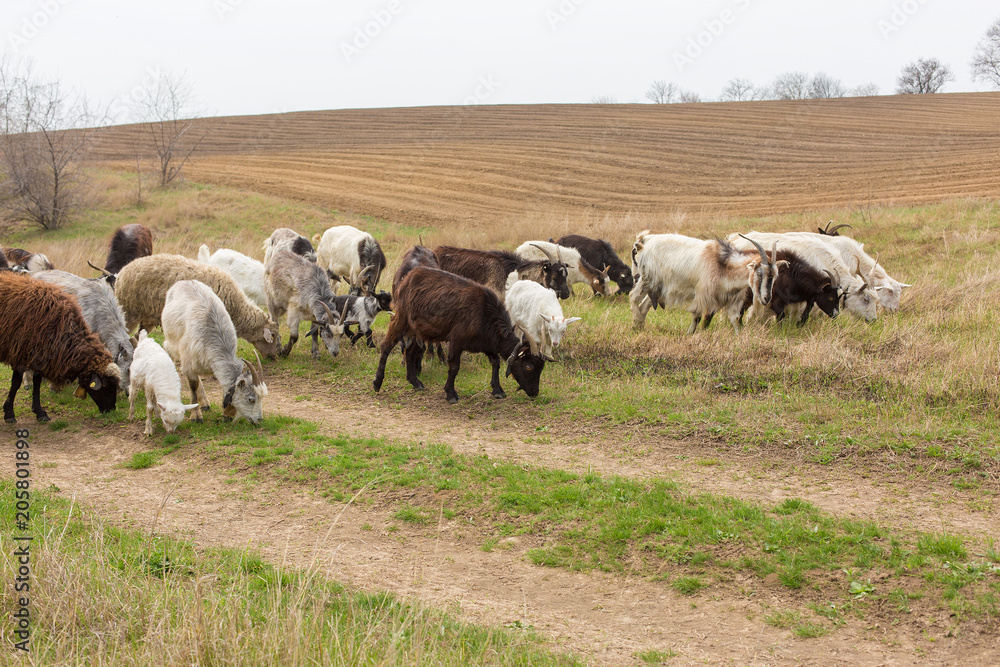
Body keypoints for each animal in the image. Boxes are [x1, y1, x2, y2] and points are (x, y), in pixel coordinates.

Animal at [0, 271, 120, 423]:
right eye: (105, 384)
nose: (111, 409)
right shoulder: (20, 354)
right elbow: (16, 383)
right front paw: (9, 413)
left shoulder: (39, 357)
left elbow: (37, 383)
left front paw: (40, 412)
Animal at [114, 254, 281, 359]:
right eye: (272, 336)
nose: (274, 357)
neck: (237, 310)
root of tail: (121, 272)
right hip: (128, 312)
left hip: (147, 318)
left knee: (136, 338)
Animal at [162, 280, 267, 425]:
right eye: (251, 399)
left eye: (262, 398)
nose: (259, 419)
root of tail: (185, 281)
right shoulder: (188, 363)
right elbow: (193, 387)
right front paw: (196, 416)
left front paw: (227, 414)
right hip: (171, 341)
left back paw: (205, 403)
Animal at [373, 267, 548, 403]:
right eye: (529, 366)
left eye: (541, 368)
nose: (534, 392)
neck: (485, 314)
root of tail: (407, 278)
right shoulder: (456, 340)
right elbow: (454, 367)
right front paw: (451, 394)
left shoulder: (487, 344)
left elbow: (496, 362)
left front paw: (498, 390)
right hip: (401, 319)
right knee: (386, 346)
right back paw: (377, 382)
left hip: (419, 330)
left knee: (409, 352)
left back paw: (416, 383)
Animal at [629, 232, 782, 333]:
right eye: (759, 273)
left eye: (775, 276)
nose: (766, 298)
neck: (723, 266)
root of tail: (644, 246)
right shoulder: (703, 295)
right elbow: (698, 317)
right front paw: (691, 334)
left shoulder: (732, 299)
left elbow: (735, 320)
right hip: (647, 279)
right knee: (633, 297)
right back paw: (635, 322)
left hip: (658, 288)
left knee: (644, 305)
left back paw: (639, 326)